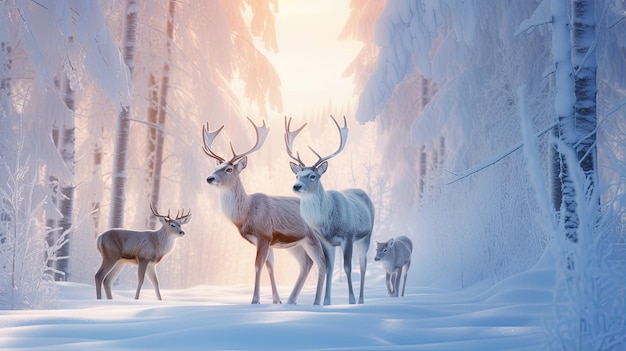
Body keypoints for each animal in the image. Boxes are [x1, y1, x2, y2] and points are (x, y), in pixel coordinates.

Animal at [202, 118, 324, 306]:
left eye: (229, 169)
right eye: (217, 167)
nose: (209, 178)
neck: (247, 213)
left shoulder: (264, 234)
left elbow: (258, 265)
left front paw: (255, 300)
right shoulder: (269, 241)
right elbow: (270, 266)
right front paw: (276, 300)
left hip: (314, 237)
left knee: (322, 263)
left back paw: (317, 302)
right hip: (296, 243)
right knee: (307, 263)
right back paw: (292, 300)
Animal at [284, 115, 376, 306]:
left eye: (312, 175)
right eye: (297, 175)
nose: (296, 186)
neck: (327, 222)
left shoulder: (348, 235)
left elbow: (347, 267)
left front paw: (351, 300)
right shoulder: (325, 241)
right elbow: (329, 267)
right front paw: (325, 301)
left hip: (366, 235)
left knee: (363, 265)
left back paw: (361, 299)